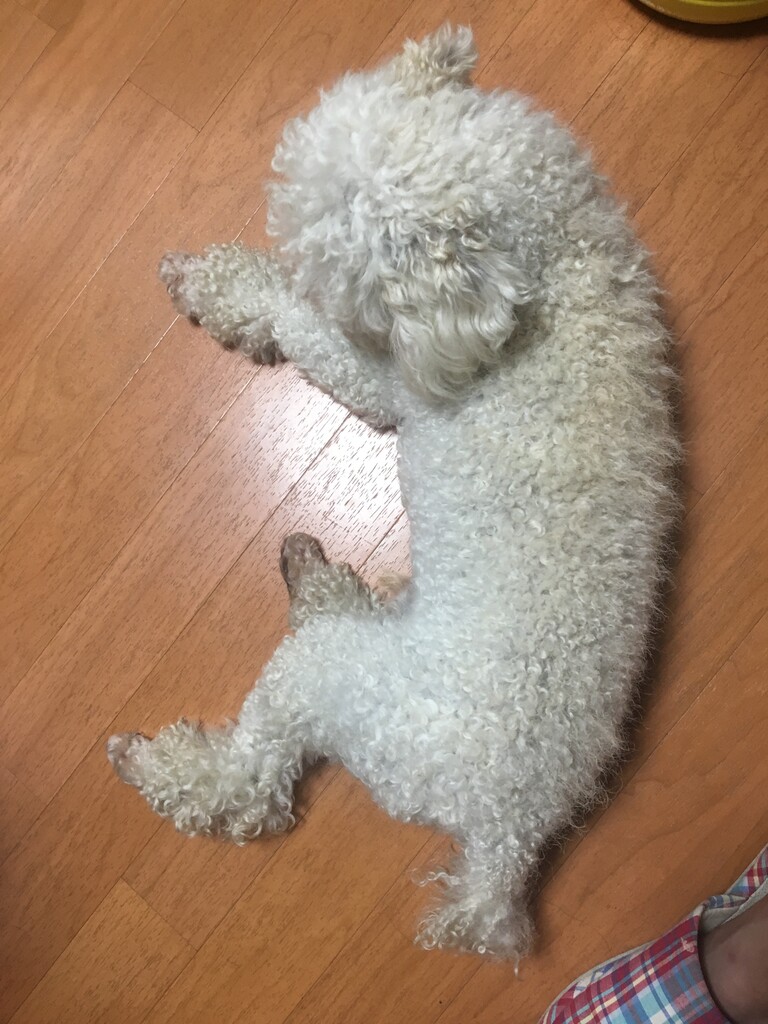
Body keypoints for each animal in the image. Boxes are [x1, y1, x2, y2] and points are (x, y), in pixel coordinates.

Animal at [108, 25, 678, 960]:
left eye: (338, 271)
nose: (316, 285)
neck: (558, 263)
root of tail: (504, 837)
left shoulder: (385, 381)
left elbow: (303, 331)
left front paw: (229, 290)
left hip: (338, 682)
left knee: (254, 783)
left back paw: (162, 762)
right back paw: (318, 580)